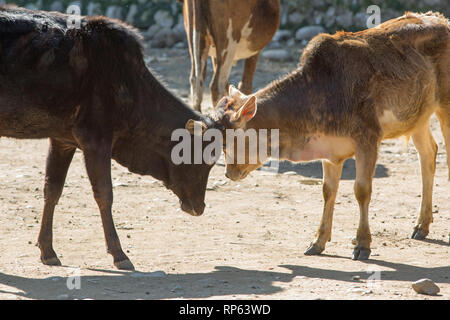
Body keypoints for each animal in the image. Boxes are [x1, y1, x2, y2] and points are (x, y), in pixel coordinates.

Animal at [215, 12, 450, 262]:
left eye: (229, 140)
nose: (229, 173)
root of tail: (441, 20)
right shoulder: (329, 149)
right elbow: (328, 191)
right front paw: (317, 242)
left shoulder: (368, 138)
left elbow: (361, 189)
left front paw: (362, 244)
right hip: (417, 116)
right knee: (428, 153)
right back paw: (421, 225)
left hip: (445, 105)